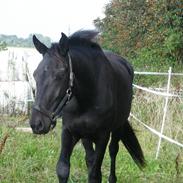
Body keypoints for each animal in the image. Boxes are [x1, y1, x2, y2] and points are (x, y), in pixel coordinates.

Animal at [29, 30, 145, 182]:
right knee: (90, 158)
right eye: (35, 74)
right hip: (86, 137)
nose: (37, 123)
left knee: (113, 151)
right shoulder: (69, 132)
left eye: (60, 74)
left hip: (117, 127)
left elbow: (94, 174)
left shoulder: (103, 137)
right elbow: (63, 169)